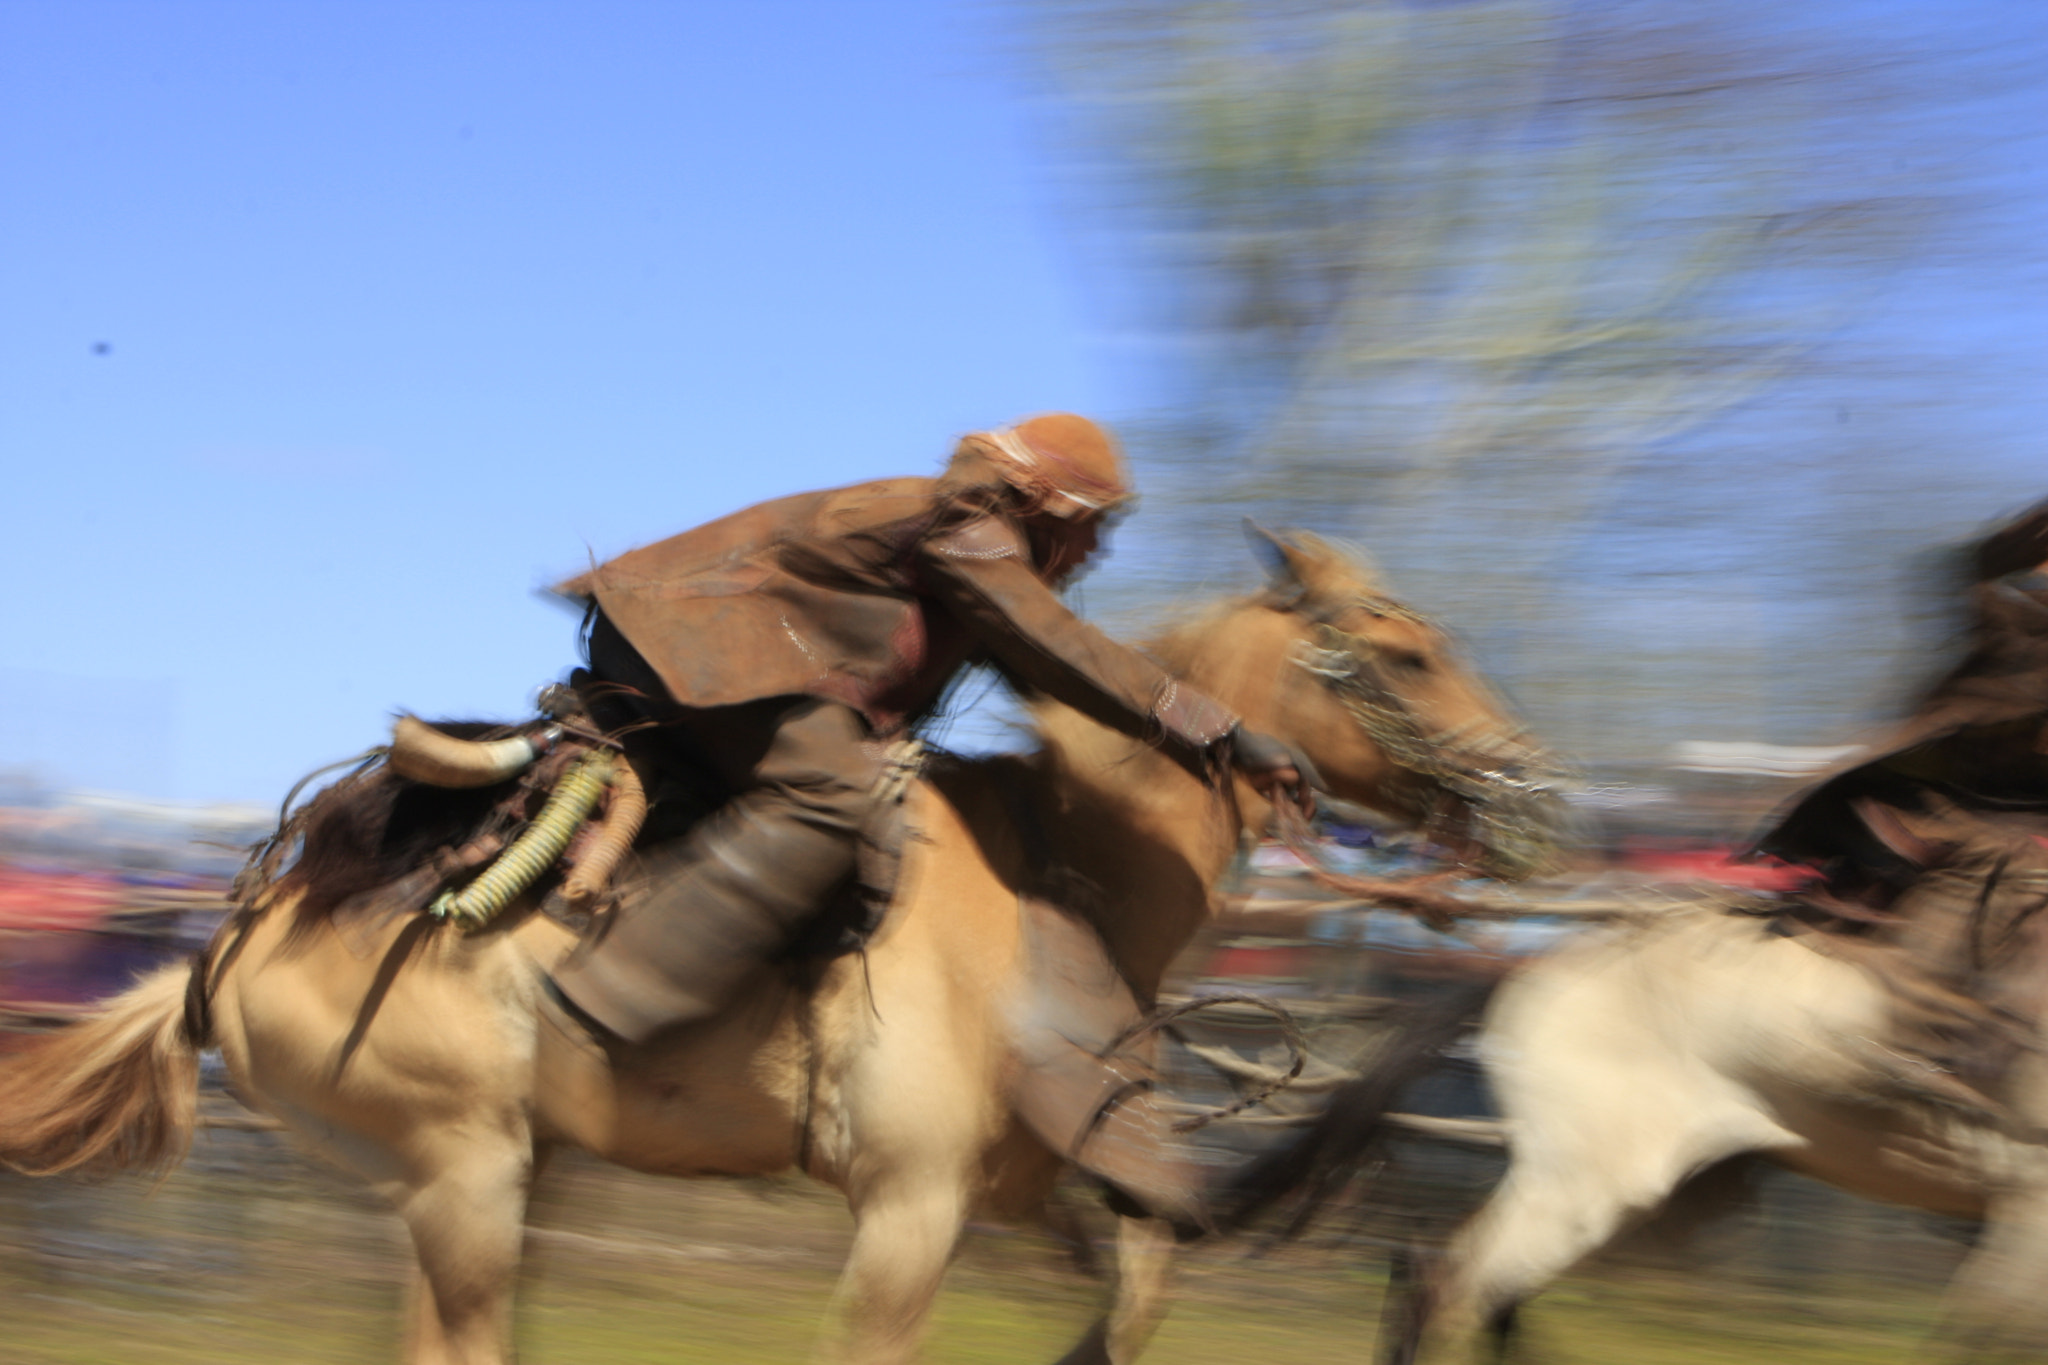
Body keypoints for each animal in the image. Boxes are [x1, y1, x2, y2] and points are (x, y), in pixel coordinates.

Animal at [0, 532, 1556, 1365]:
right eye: (1404, 652)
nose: (1533, 792)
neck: (1057, 869)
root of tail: (222, 954)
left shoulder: (1027, 1191)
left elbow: (1134, 1293)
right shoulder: (906, 1208)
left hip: (493, 1178)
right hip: (463, 1171)